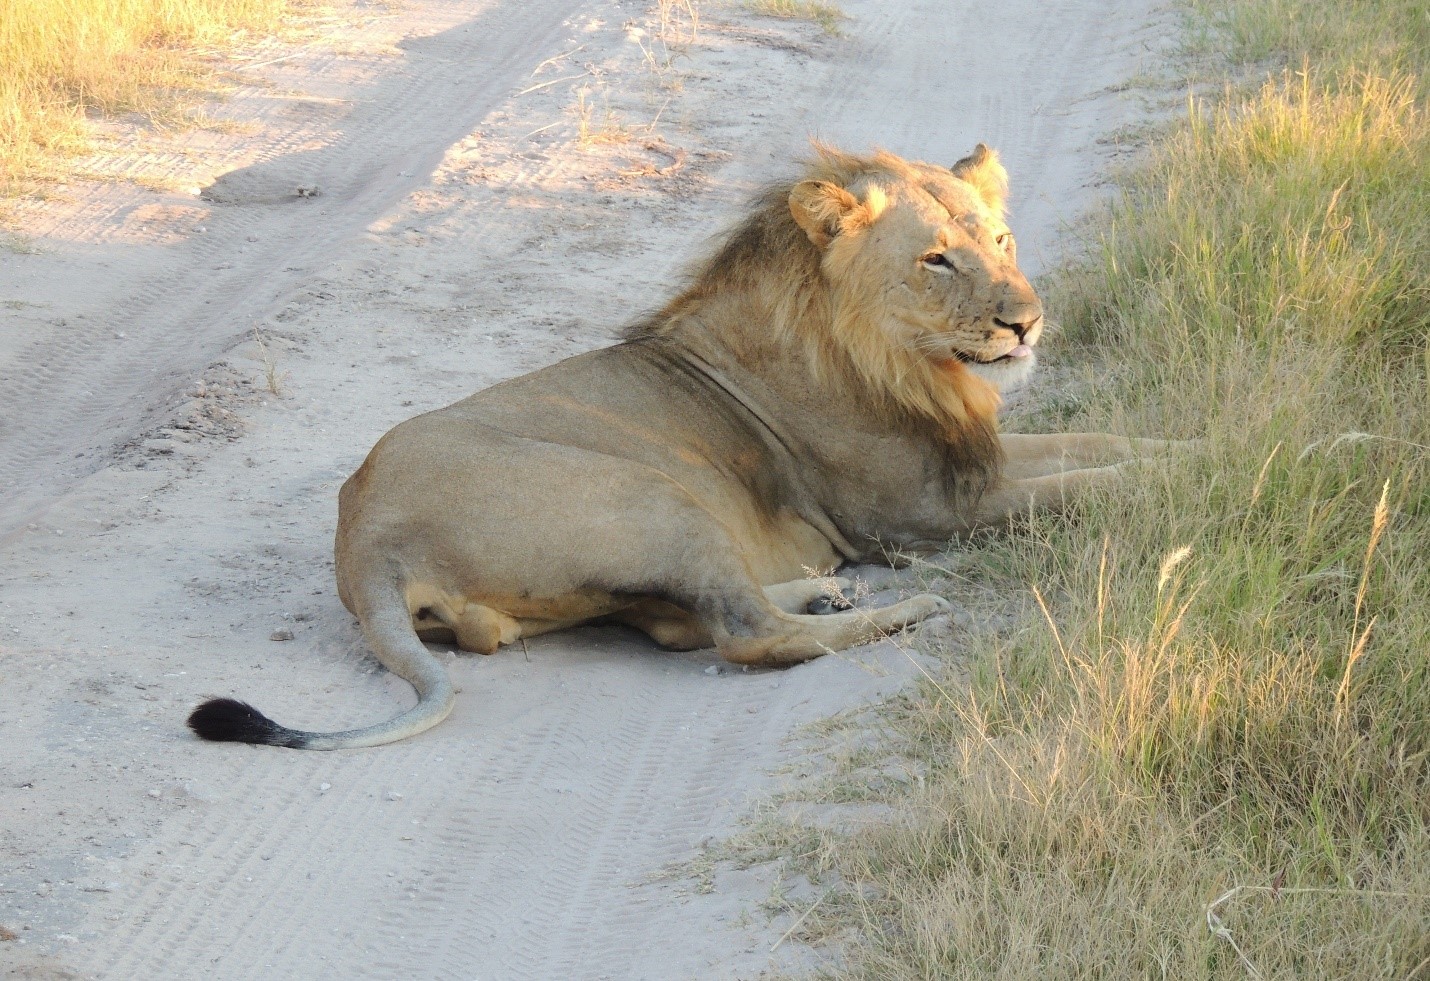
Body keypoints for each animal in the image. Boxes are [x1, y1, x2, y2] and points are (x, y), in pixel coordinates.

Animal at [187, 144, 1172, 755]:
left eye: (1001, 240)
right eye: (936, 260)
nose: (1027, 321)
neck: (902, 359)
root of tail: (364, 539)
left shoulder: (973, 461)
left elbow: (1108, 442)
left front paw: (1197, 443)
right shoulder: (920, 511)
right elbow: (1092, 483)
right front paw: (1189, 480)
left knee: (684, 620)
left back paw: (826, 591)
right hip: (649, 491)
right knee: (749, 637)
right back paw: (901, 611)